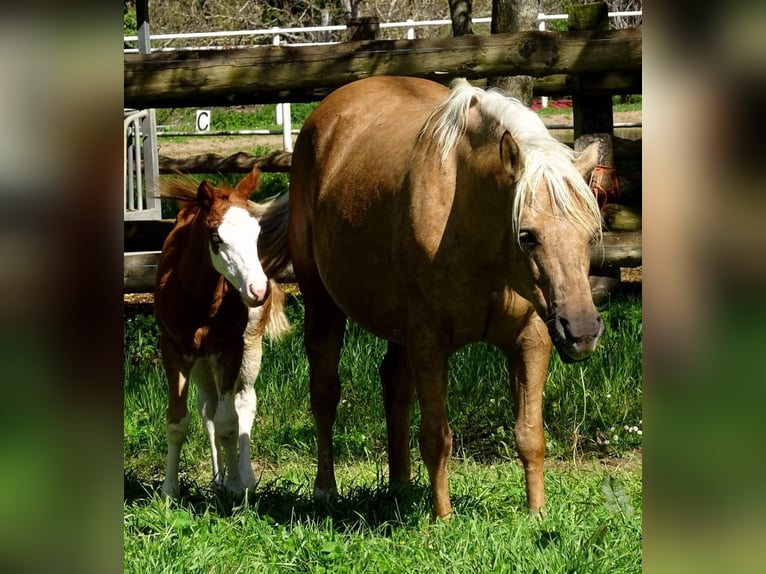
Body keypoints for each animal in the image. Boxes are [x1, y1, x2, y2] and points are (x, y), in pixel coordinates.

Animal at [155, 168, 292, 500]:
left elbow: (230, 421)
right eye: (216, 238)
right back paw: (218, 478)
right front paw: (169, 491)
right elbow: (179, 421)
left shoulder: (230, 347)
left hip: (250, 345)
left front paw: (235, 487)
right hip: (203, 361)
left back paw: (244, 476)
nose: (258, 290)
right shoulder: (174, 349)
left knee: (244, 402)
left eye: (257, 235)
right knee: (208, 406)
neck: (198, 297)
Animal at [288, 76, 608, 520]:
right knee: (324, 391)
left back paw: (400, 486)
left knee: (394, 386)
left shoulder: (531, 340)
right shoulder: (430, 341)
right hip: (322, 304)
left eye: (591, 233)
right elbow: (436, 436)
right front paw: (443, 519)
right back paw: (325, 489)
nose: (581, 331)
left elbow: (530, 434)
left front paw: (537, 514)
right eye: (527, 235)